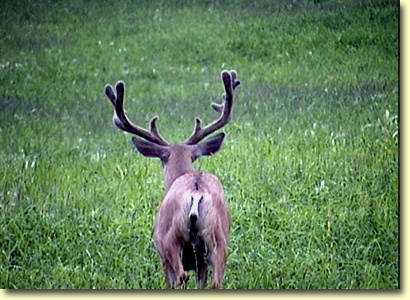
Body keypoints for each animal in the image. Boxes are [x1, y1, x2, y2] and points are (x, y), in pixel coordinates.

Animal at [104, 69, 240, 288]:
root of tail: (196, 190)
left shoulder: (162, 255)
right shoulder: (201, 263)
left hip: (171, 241)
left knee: (181, 276)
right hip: (218, 241)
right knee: (216, 282)